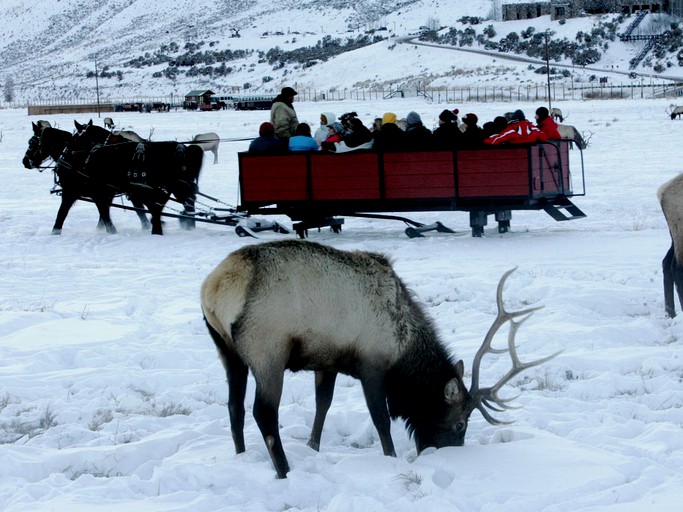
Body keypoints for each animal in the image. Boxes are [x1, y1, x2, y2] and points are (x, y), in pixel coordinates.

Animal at [57, 122, 203, 236]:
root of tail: (183, 148)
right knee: (189, 200)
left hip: (174, 186)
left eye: (75, 138)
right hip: (178, 186)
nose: (62, 160)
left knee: (185, 201)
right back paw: (187, 223)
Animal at [202, 242, 560, 478]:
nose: (448, 453)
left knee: (234, 406)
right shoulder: (371, 363)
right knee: (263, 412)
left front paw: (313, 447)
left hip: (227, 351)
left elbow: (323, 405)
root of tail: (215, 287)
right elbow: (381, 418)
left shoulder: (327, 361)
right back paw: (284, 470)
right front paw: (391, 457)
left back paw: (241, 455)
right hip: (268, 350)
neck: (403, 348)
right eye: (460, 423)